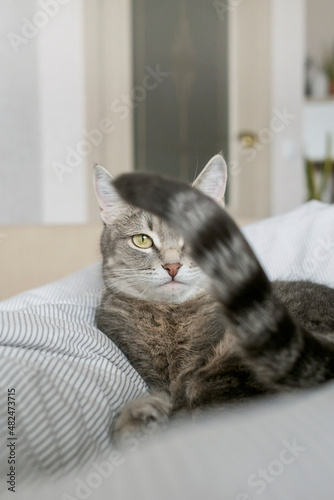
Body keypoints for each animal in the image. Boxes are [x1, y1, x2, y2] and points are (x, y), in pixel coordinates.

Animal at [92, 155, 334, 442]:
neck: (170, 316)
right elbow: (158, 395)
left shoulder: (192, 373)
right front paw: (138, 421)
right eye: (142, 240)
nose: (172, 266)